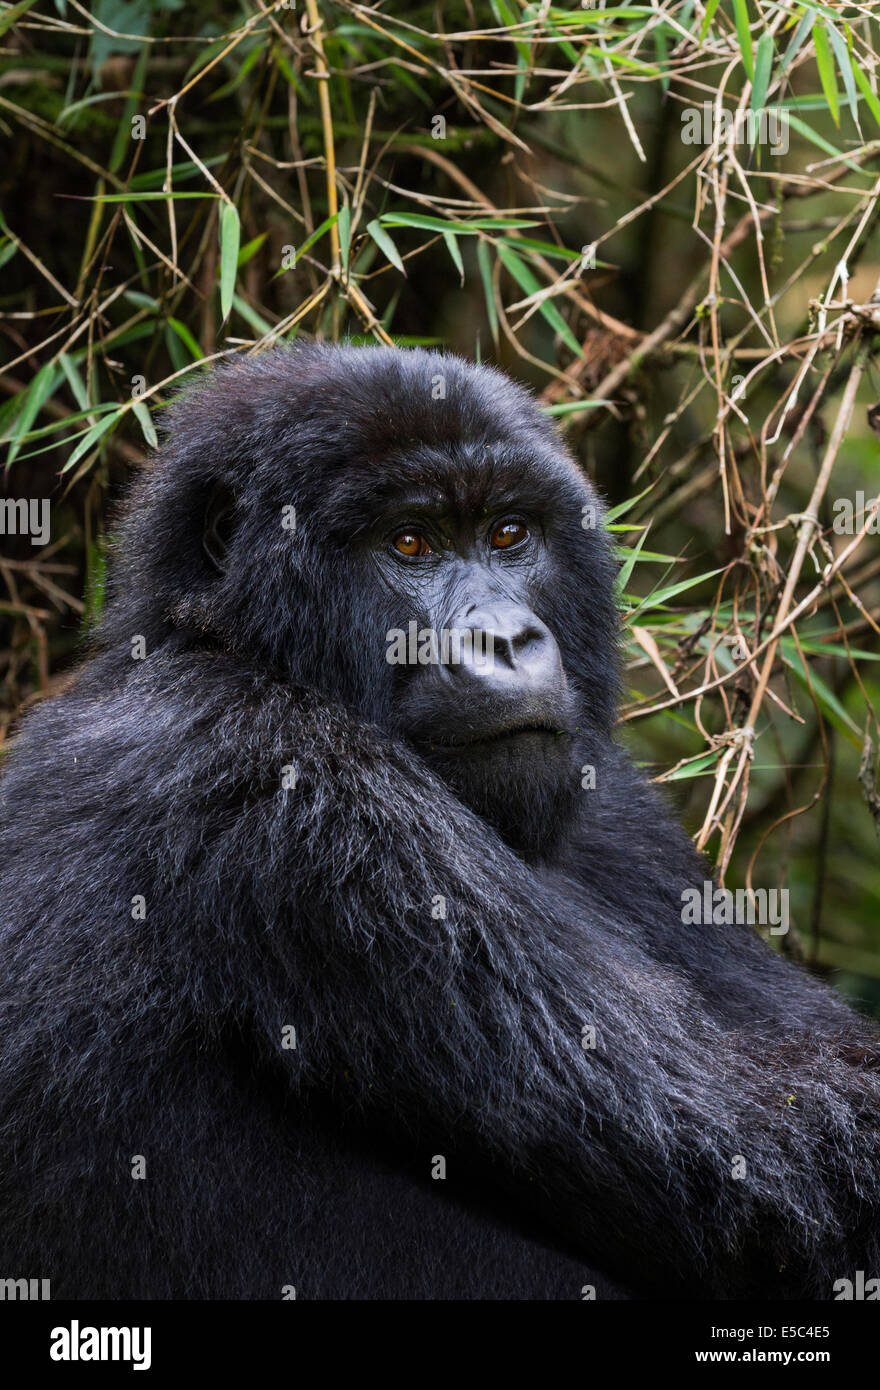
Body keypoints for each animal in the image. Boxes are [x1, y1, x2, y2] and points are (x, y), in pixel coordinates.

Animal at [1, 341, 878, 1295]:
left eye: (510, 534)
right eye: (410, 542)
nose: (508, 640)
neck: (221, 646)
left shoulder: (609, 798)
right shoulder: (294, 789)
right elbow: (779, 1152)